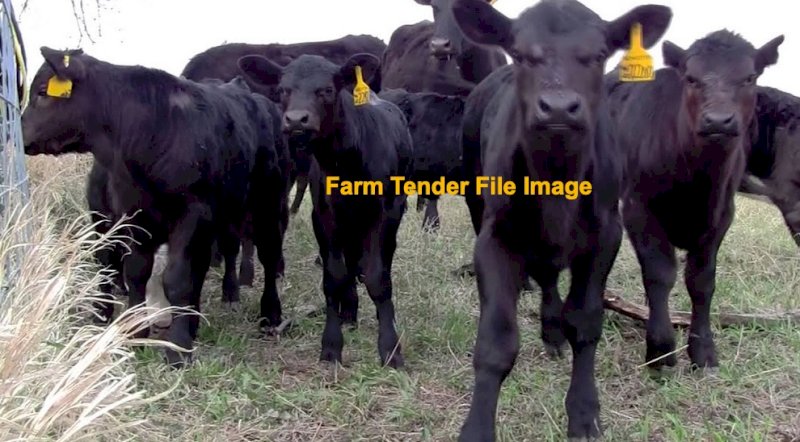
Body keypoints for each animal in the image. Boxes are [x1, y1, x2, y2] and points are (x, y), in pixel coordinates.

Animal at [22, 47, 290, 367]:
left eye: (42, 92)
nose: (21, 135)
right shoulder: (134, 218)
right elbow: (137, 273)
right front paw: (136, 334)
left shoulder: (192, 217)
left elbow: (177, 279)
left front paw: (178, 348)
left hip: (267, 207)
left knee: (269, 256)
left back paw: (270, 315)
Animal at [238, 52, 414, 368]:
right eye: (283, 90)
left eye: (327, 90)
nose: (296, 119)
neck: (347, 163)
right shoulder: (323, 216)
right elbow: (333, 277)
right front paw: (331, 346)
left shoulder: (384, 214)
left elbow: (379, 279)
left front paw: (390, 349)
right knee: (351, 263)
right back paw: (349, 312)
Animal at [448, 0, 672, 440]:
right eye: (519, 53)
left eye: (599, 54)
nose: (557, 106)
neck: (556, 181)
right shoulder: (495, 238)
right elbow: (496, 343)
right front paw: (477, 427)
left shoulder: (606, 235)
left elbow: (584, 322)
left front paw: (584, 413)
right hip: (474, 196)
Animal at [606, 30, 783, 376]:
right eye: (690, 78)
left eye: (750, 77)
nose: (718, 121)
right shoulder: (638, 207)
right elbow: (660, 274)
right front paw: (660, 352)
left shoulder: (722, 215)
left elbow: (701, 281)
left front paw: (703, 352)